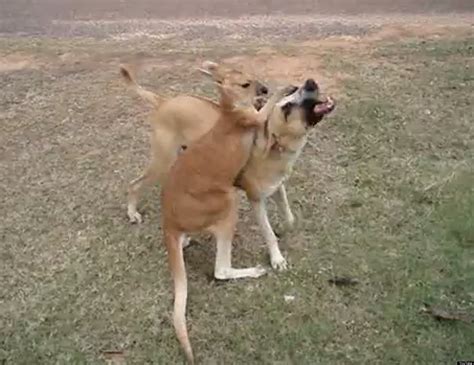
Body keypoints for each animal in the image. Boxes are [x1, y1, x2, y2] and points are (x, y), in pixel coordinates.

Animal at [162, 84, 288, 362]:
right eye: (245, 84)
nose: (263, 88)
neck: (229, 110)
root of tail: (170, 222)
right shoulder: (249, 120)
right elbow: (263, 115)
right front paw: (284, 90)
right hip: (225, 200)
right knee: (220, 271)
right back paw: (255, 271)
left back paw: (186, 240)